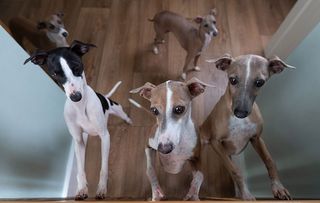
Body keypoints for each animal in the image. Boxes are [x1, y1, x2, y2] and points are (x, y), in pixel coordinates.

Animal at [23, 40, 131, 200]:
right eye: (55, 73)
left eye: (77, 67)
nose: (75, 97)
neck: (81, 108)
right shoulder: (78, 141)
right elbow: (80, 169)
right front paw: (81, 189)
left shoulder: (105, 136)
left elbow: (104, 168)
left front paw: (102, 189)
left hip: (116, 108)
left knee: (124, 114)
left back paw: (129, 120)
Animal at [201, 54, 294, 200]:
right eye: (232, 80)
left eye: (260, 82)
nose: (240, 112)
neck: (239, 122)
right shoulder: (215, 142)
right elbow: (235, 171)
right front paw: (246, 194)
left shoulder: (256, 138)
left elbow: (269, 161)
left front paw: (278, 187)